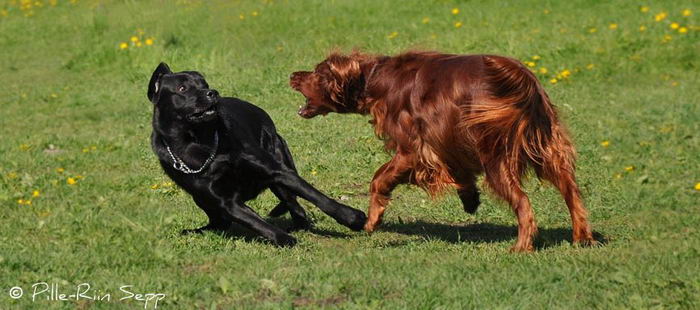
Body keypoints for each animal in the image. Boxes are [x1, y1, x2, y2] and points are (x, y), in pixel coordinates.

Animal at [147, 63, 366, 247]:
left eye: (204, 84)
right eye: (182, 89)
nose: (213, 93)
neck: (201, 141)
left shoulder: (276, 171)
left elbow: (316, 196)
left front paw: (352, 217)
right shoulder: (225, 201)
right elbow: (256, 222)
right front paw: (285, 240)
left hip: (279, 172)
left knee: (297, 209)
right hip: (200, 199)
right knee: (220, 223)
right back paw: (194, 231)